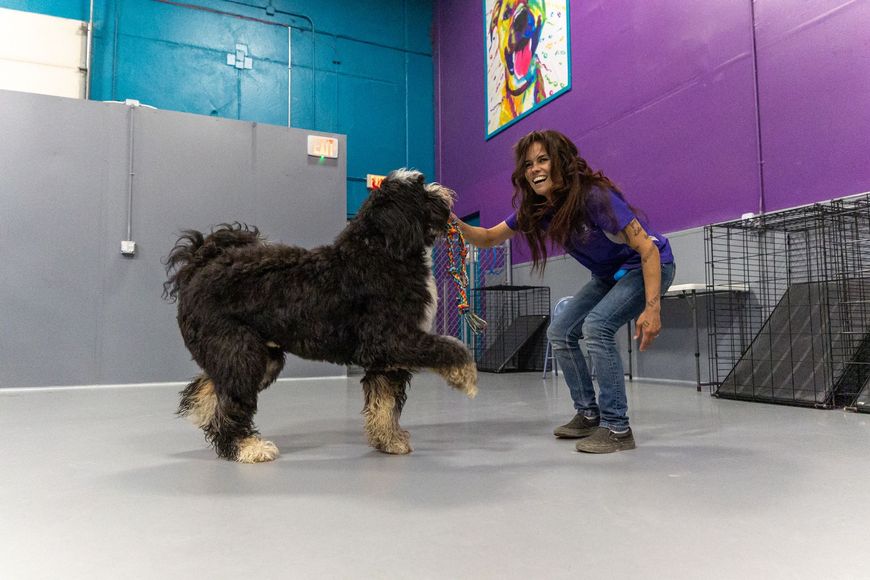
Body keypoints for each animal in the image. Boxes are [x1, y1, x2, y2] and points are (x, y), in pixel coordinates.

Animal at [164, 168, 476, 462]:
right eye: (421, 186)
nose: (442, 190)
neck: (381, 252)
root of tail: (198, 266)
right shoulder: (391, 341)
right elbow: (451, 346)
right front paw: (466, 377)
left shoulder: (385, 358)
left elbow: (384, 403)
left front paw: (388, 440)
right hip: (241, 353)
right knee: (230, 403)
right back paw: (247, 447)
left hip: (256, 357)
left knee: (209, 387)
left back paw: (206, 414)